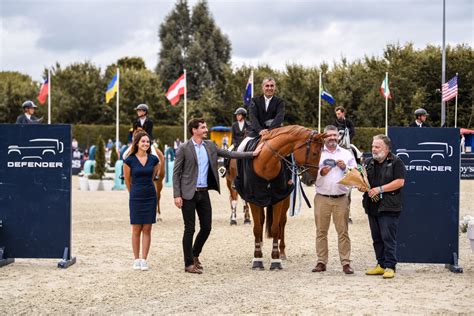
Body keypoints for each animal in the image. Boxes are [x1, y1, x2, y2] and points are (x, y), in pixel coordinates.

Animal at [246, 124, 324, 270]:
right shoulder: (253, 200)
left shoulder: (278, 199)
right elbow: (257, 228)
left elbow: (275, 228)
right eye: (315, 153)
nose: (312, 180)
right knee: (261, 221)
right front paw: (257, 258)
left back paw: (281, 252)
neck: (265, 162)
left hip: (285, 201)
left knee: (282, 223)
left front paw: (275, 260)